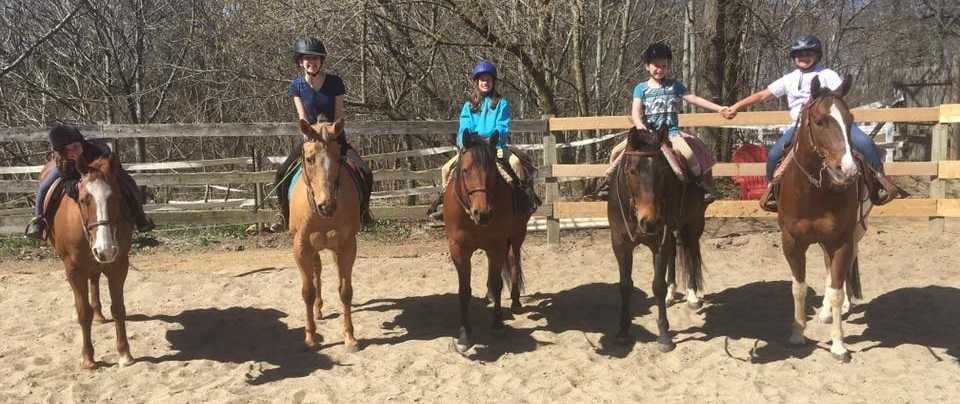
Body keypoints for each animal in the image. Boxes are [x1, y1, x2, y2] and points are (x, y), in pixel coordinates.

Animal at [42, 152, 136, 370]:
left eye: (116, 198)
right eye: (84, 200)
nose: (105, 249)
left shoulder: (119, 265)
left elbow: (118, 309)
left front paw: (124, 354)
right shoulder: (73, 270)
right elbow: (83, 313)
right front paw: (88, 358)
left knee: (94, 279)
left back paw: (99, 314)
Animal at [286, 118, 362, 352]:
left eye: (338, 158)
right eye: (310, 159)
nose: (326, 206)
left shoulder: (348, 246)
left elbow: (345, 291)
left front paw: (350, 337)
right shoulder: (301, 248)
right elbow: (307, 291)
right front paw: (310, 337)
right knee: (316, 272)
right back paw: (318, 311)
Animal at [444, 131, 532, 352]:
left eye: (492, 171)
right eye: (465, 170)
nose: (482, 214)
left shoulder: (497, 245)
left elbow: (497, 281)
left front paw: (498, 325)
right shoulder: (458, 250)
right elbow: (464, 290)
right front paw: (464, 335)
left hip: (518, 233)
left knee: (514, 259)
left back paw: (515, 299)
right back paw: (490, 295)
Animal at [608, 124, 704, 352]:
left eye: (662, 171)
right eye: (631, 171)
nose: (650, 222)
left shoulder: (659, 242)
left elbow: (657, 286)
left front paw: (664, 335)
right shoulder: (620, 244)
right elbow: (625, 286)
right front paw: (623, 332)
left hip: (694, 224)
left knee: (691, 252)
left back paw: (692, 295)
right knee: (675, 252)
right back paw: (672, 294)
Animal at [772, 74, 872, 362]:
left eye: (850, 119)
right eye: (819, 121)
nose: (847, 170)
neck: (813, 192)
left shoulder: (841, 241)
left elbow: (837, 290)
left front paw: (839, 344)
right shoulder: (792, 242)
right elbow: (798, 287)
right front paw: (796, 334)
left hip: (853, 235)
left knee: (841, 271)